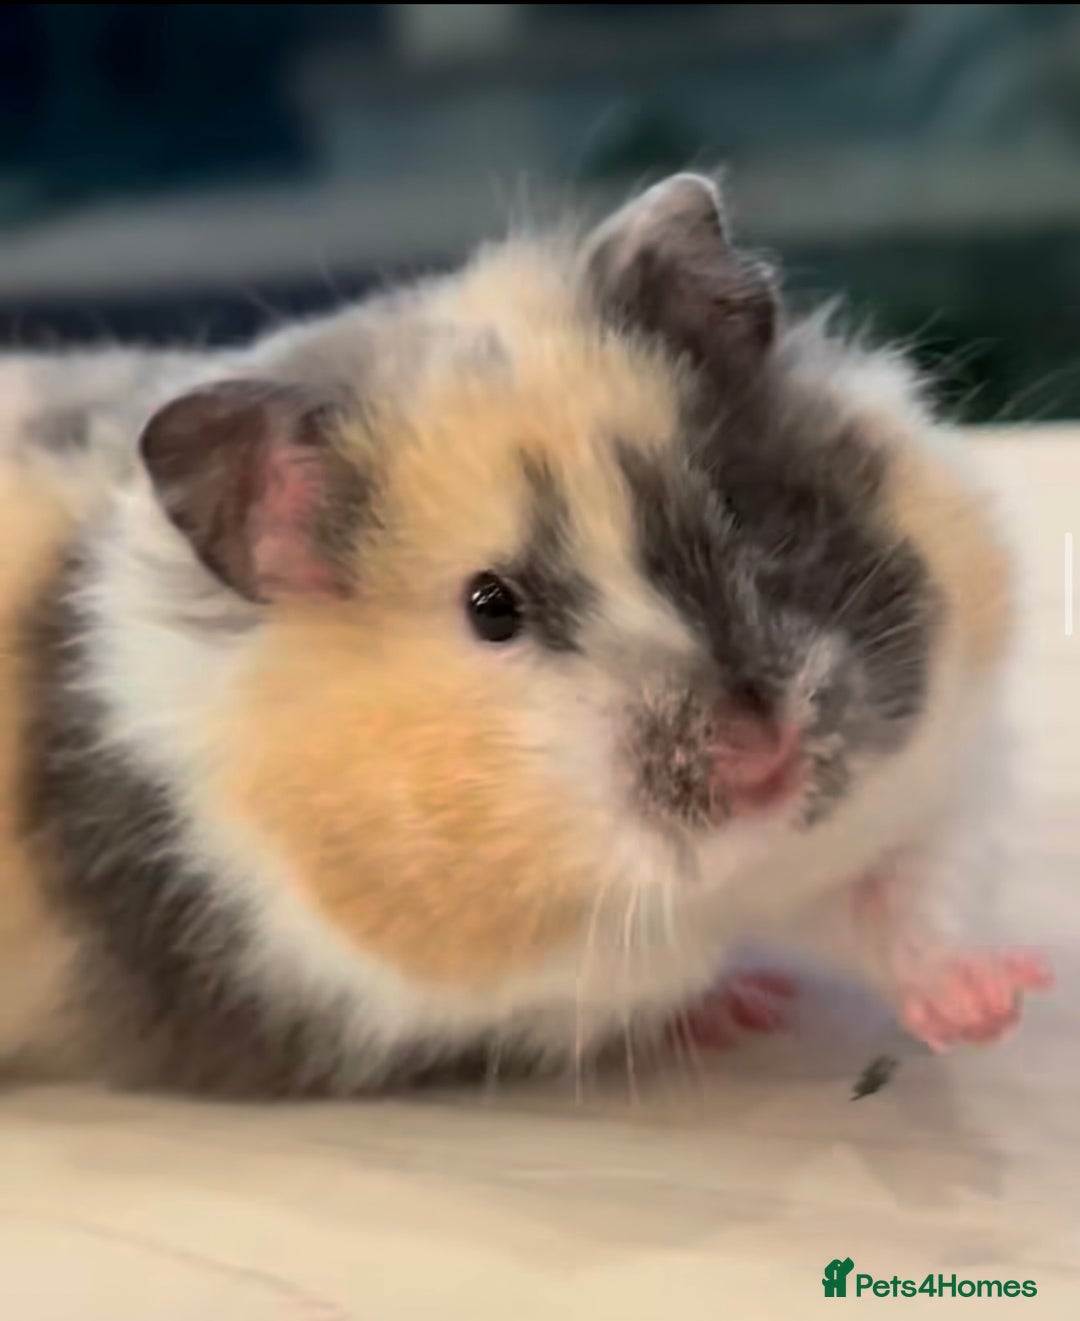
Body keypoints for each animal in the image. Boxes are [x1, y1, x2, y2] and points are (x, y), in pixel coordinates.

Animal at [0, 172, 1050, 1095]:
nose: (765, 757)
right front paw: (744, 1007)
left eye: (738, 507)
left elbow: (900, 899)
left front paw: (997, 1005)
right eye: (491, 606)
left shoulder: (906, 797)